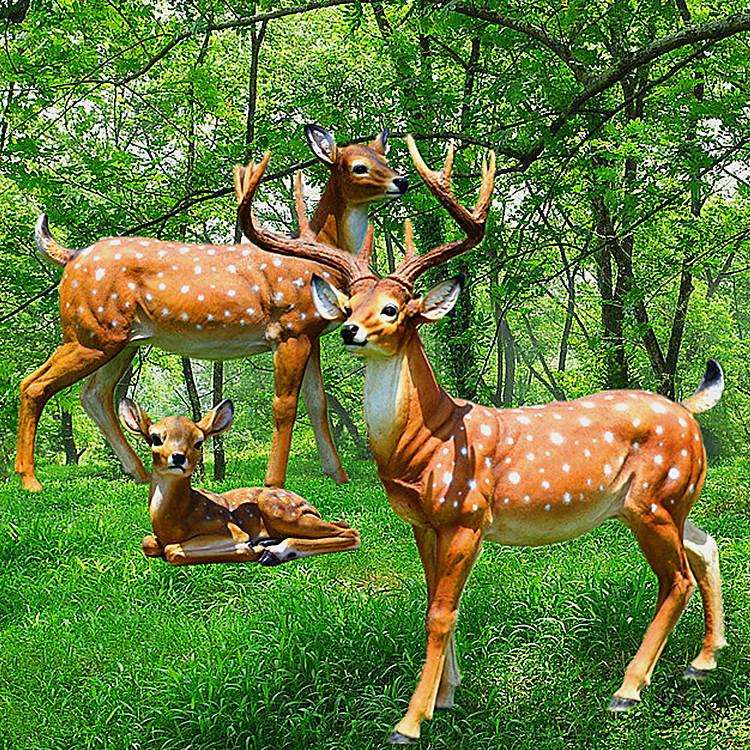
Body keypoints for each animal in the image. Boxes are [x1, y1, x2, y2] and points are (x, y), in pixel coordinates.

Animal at [16, 125, 408, 493]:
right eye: (358, 167)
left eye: (384, 158)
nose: (401, 180)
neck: (316, 259)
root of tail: (70, 258)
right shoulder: (288, 328)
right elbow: (284, 405)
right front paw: (274, 483)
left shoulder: (309, 334)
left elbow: (318, 404)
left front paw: (338, 476)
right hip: (89, 331)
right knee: (35, 384)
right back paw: (29, 479)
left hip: (120, 339)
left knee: (95, 395)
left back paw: (140, 474)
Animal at [117, 397, 359, 566]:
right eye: (155, 438)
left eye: (199, 442)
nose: (178, 457)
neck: (172, 523)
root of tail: (309, 505)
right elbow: (147, 543)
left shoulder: (230, 527)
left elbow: (172, 550)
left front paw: (251, 549)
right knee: (342, 525)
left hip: (280, 510)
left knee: (351, 533)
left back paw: (273, 552)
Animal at [236, 137, 727, 744]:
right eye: (348, 306)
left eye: (393, 309)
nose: (350, 331)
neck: (429, 442)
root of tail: (688, 410)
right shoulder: (423, 521)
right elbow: (430, 600)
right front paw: (446, 696)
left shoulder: (467, 514)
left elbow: (441, 611)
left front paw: (411, 720)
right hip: (671, 499)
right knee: (705, 546)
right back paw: (703, 660)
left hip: (653, 497)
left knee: (676, 578)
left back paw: (628, 689)